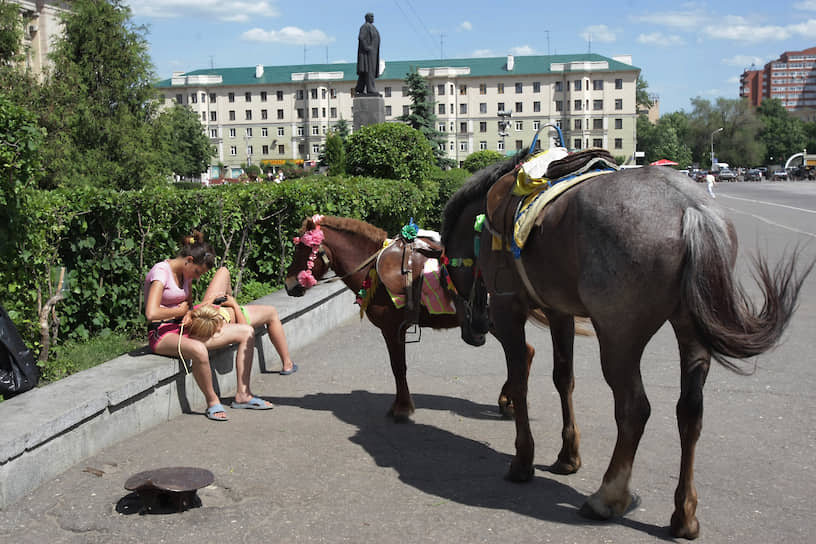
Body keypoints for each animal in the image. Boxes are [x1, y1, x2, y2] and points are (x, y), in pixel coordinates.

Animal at [440, 151, 808, 536]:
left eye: (447, 270)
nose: (474, 330)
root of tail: (689, 208)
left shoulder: (508, 308)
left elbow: (521, 383)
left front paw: (523, 460)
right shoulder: (559, 311)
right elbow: (563, 379)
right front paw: (567, 456)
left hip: (619, 339)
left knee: (634, 409)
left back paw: (607, 497)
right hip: (690, 332)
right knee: (690, 411)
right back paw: (684, 514)